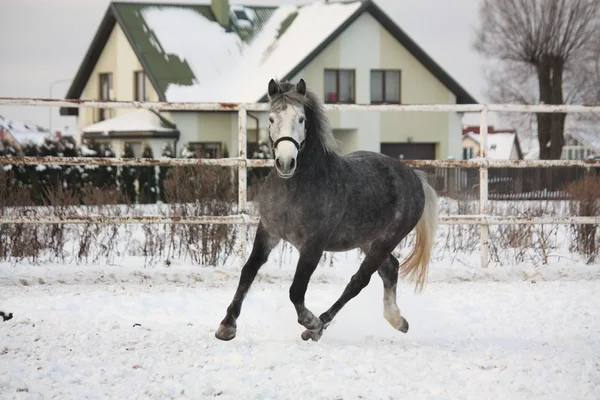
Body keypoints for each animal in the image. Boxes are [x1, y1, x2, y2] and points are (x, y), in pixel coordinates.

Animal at [213, 79, 438, 344]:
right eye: (271, 118)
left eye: (301, 119)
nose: (286, 163)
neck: (294, 188)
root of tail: (414, 177)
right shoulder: (268, 232)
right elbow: (248, 272)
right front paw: (227, 325)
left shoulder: (313, 246)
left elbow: (296, 289)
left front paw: (310, 320)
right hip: (367, 240)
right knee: (390, 269)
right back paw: (397, 320)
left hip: (386, 240)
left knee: (359, 281)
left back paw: (318, 327)